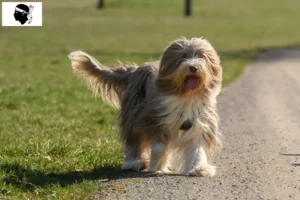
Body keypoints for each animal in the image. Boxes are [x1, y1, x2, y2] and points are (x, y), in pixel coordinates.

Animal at [68, 37, 223, 177]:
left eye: (201, 56)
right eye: (183, 56)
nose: (193, 67)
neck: (186, 97)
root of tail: (135, 70)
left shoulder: (200, 122)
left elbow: (197, 146)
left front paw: (198, 168)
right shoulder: (154, 119)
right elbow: (159, 146)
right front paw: (158, 166)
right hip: (133, 115)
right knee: (133, 140)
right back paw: (134, 162)